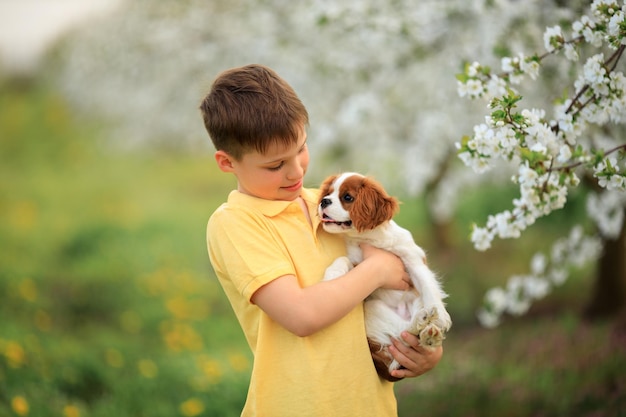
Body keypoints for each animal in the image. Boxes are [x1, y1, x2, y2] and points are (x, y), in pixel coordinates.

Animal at [316, 171, 448, 380]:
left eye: (347, 197)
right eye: (327, 193)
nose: (324, 201)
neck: (371, 238)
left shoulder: (414, 260)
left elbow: (428, 287)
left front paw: (441, 318)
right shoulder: (360, 264)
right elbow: (342, 259)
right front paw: (332, 275)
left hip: (415, 303)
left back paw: (428, 331)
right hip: (372, 307)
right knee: (402, 335)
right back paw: (422, 327)